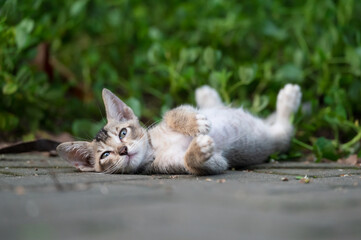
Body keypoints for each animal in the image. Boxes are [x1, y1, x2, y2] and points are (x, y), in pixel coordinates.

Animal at [57, 84, 300, 174]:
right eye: (105, 155)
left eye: (123, 133)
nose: (123, 150)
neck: (156, 148)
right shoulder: (182, 165)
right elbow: (200, 165)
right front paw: (197, 151)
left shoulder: (172, 116)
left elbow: (173, 112)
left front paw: (194, 123)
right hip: (277, 139)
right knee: (285, 127)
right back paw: (288, 99)